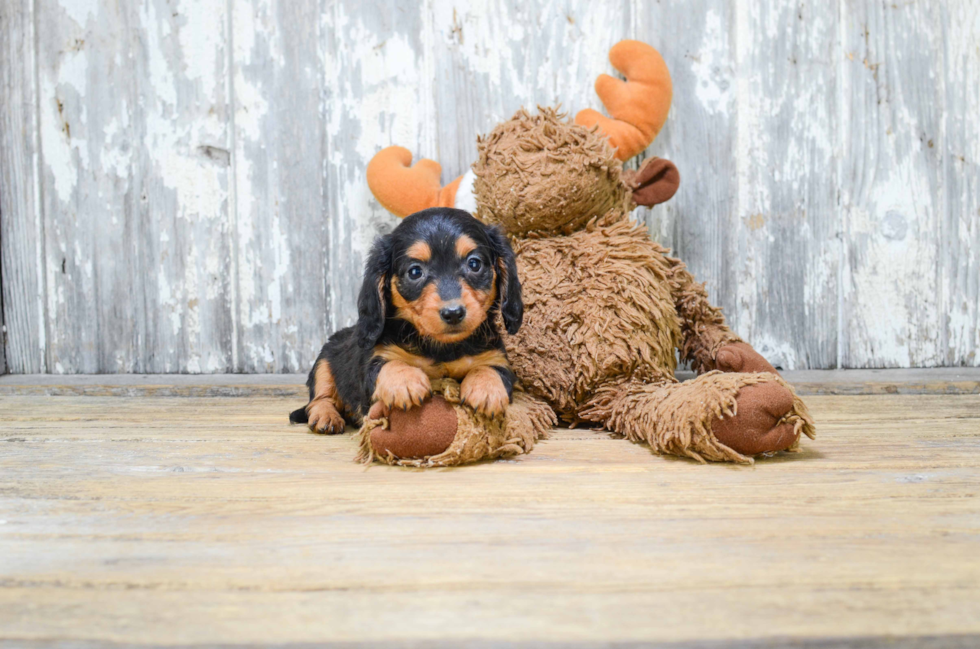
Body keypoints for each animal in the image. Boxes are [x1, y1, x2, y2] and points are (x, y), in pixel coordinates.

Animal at [290, 205, 524, 432]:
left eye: (474, 264)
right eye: (415, 272)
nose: (453, 313)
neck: (442, 348)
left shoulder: (496, 357)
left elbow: (492, 369)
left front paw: (486, 389)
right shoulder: (375, 359)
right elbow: (388, 364)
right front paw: (405, 382)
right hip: (324, 361)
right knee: (319, 398)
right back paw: (326, 416)